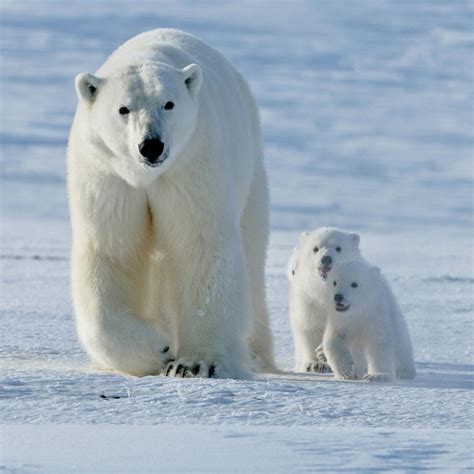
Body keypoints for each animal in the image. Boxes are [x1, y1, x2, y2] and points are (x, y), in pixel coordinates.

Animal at [66, 28, 274, 378]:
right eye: (124, 109)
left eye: (169, 103)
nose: (151, 145)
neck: (146, 177)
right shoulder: (109, 177)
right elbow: (113, 252)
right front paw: (157, 349)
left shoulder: (190, 165)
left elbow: (198, 245)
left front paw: (196, 363)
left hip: (249, 173)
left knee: (251, 253)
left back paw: (257, 355)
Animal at [286, 228, 362, 372]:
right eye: (315, 248)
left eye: (338, 248)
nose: (326, 258)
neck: (324, 293)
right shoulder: (309, 301)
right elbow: (308, 328)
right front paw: (313, 364)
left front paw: (322, 353)